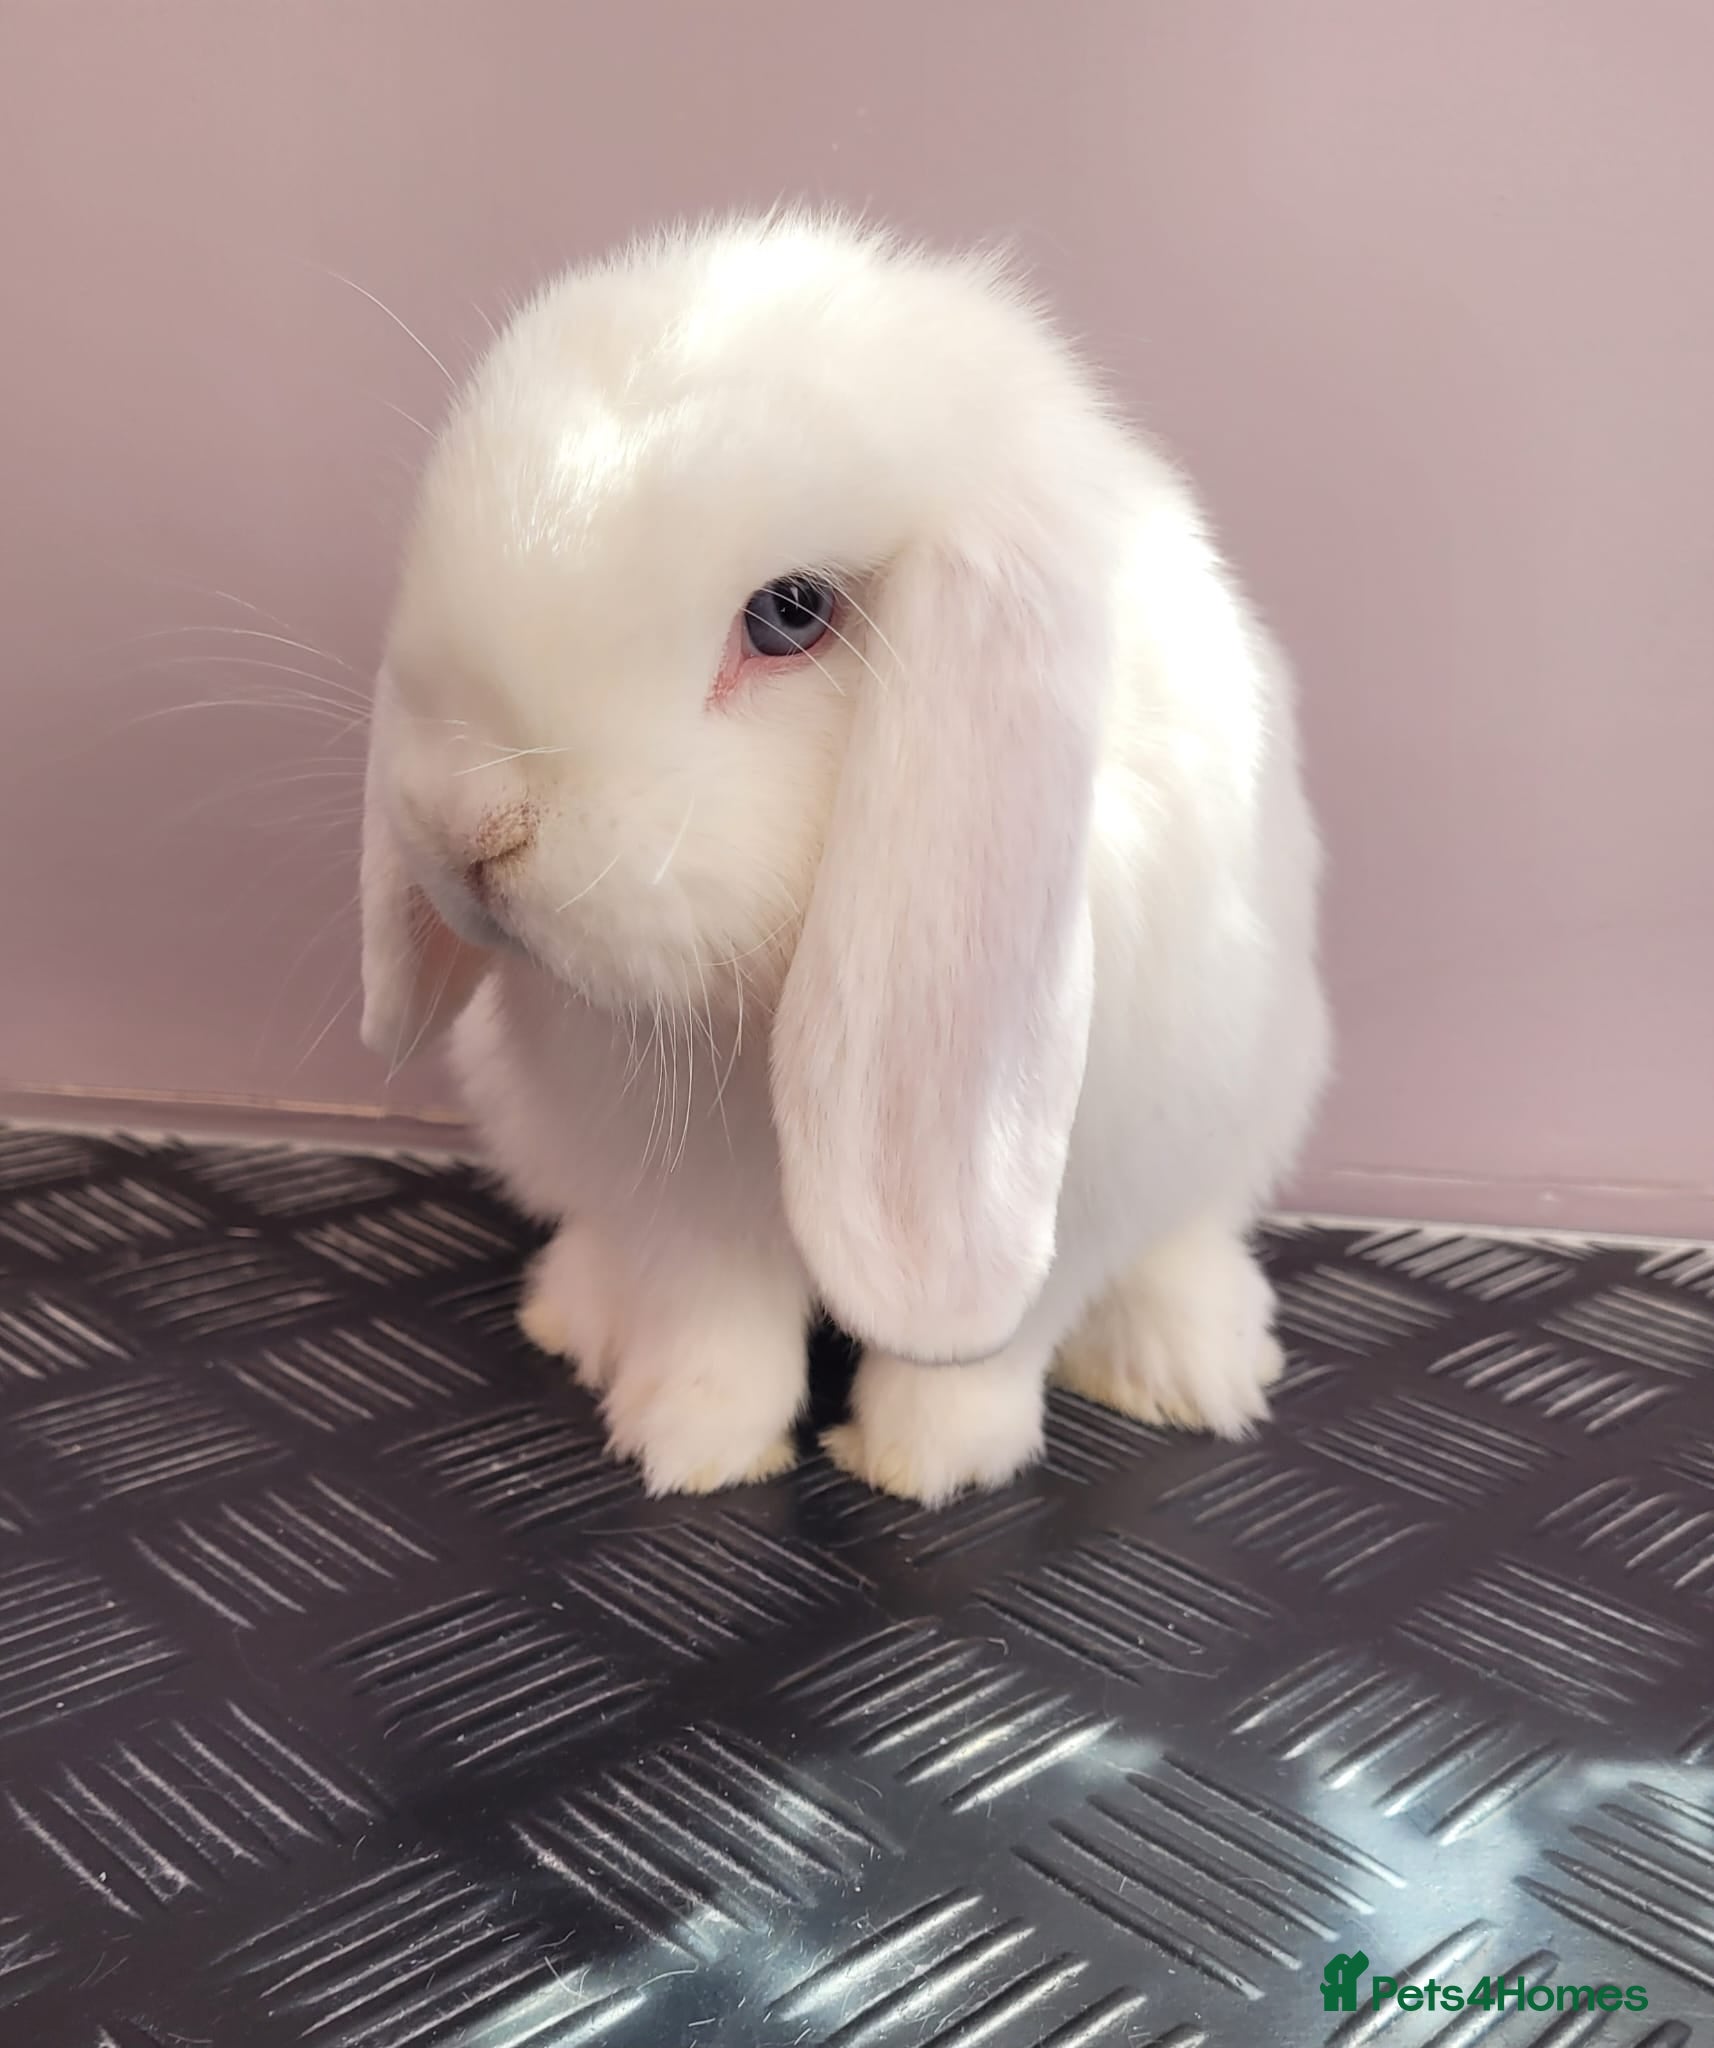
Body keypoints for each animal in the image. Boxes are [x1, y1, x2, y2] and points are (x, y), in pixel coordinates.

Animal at [358, 210, 1330, 1505]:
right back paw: (576, 1314)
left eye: (788, 613)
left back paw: (1190, 1362)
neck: (754, 1015)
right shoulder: (679, 1197)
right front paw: (694, 1448)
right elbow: (713, 1318)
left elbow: (987, 1348)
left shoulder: (1071, 1186)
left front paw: (926, 1464)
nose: (468, 828)